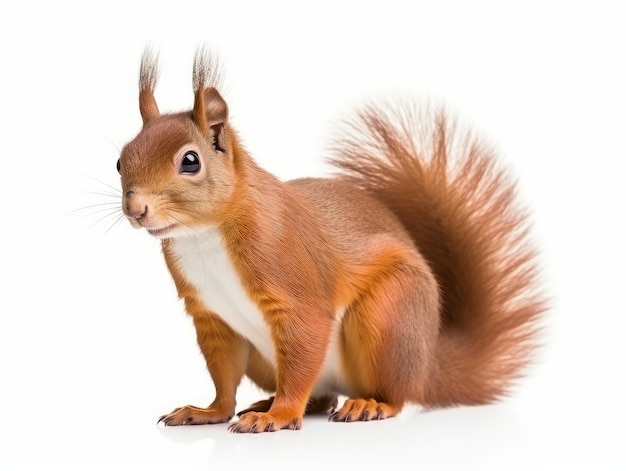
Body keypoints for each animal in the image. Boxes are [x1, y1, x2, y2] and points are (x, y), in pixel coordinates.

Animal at [116, 48, 540, 436]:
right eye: (120, 161)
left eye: (190, 161)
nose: (136, 210)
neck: (202, 236)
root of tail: (425, 365)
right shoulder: (210, 315)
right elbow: (223, 375)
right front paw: (209, 411)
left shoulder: (291, 279)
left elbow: (306, 337)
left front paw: (280, 416)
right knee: (320, 396)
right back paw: (269, 401)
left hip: (387, 315)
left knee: (391, 394)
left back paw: (367, 404)